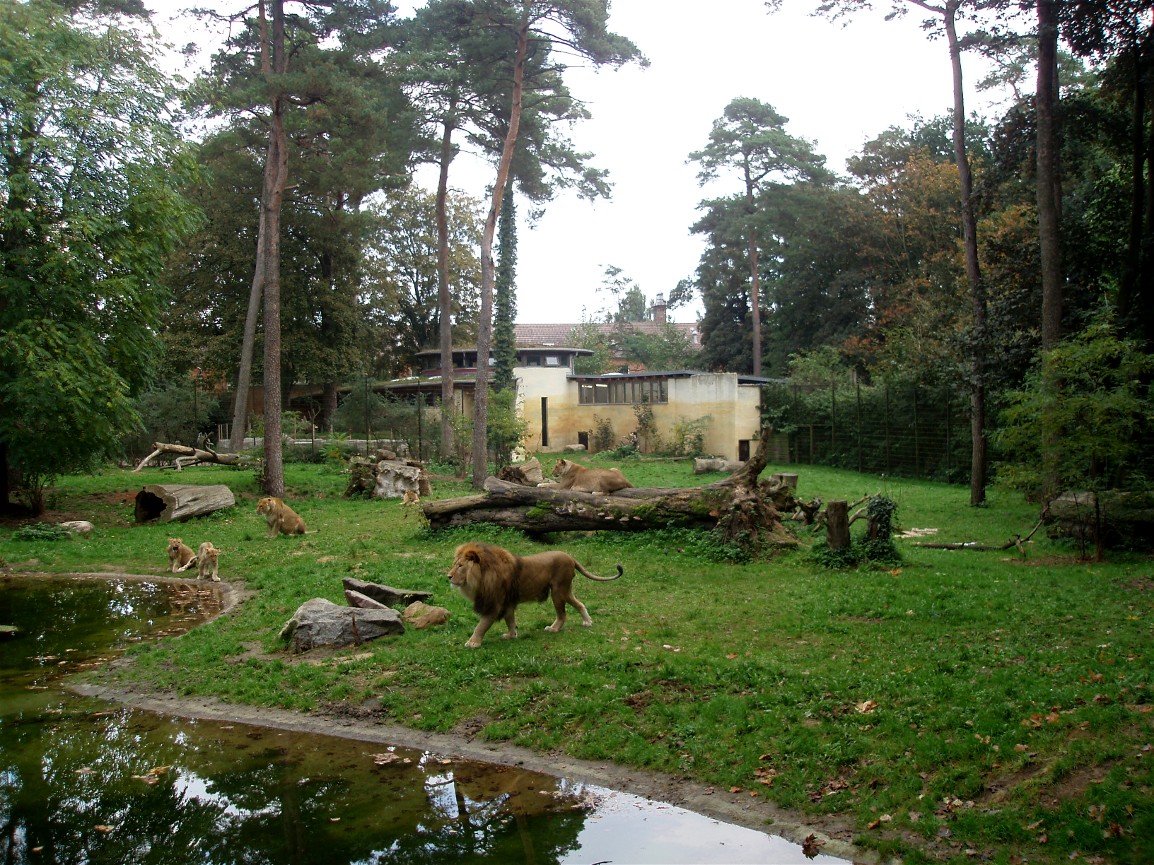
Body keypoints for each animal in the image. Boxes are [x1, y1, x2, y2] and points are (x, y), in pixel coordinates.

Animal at [448, 541, 623, 649]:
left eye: (460, 566)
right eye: (454, 564)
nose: (448, 576)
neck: (483, 575)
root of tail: (571, 557)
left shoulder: (495, 604)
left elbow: (482, 625)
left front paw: (473, 642)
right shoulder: (507, 603)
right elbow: (510, 620)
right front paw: (511, 635)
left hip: (558, 590)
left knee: (563, 614)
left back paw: (554, 628)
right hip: (565, 590)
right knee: (578, 603)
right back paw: (587, 622)